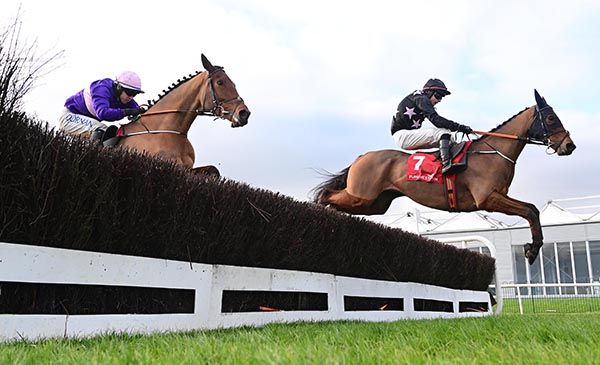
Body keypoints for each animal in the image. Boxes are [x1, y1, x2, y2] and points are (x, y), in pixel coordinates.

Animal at [312, 89, 576, 264]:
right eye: (551, 118)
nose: (569, 146)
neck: (492, 152)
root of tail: (361, 157)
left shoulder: (498, 196)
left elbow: (532, 209)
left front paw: (533, 248)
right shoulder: (488, 199)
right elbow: (530, 211)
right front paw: (531, 250)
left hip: (375, 204)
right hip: (362, 196)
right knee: (326, 194)